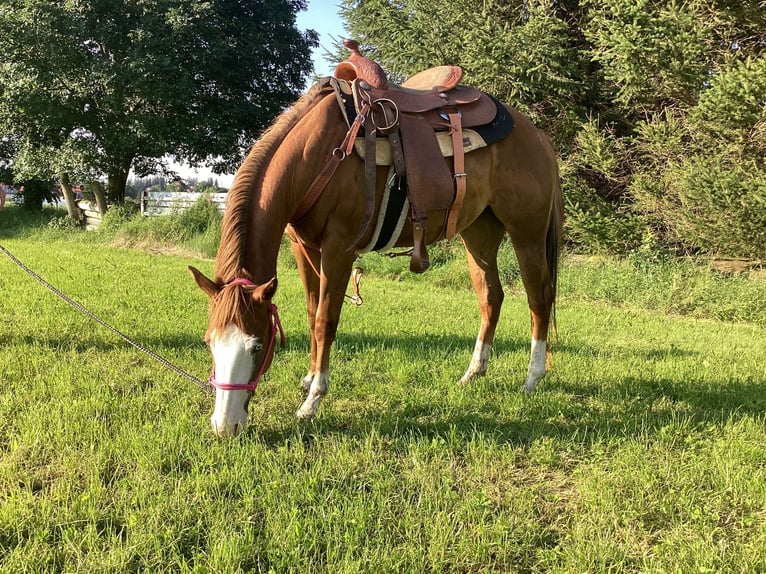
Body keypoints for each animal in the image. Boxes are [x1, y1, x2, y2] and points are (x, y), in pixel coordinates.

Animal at [190, 76, 564, 438]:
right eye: (208, 341)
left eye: (256, 346)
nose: (224, 426)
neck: (315, 154)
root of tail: (539, 136)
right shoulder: (302, 246)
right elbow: (312, 312)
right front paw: (309, 378)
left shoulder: (338, 248)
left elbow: (326, 321)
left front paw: (312, 400)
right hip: (479, 233)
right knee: (491, 297)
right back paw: (473, 372)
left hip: (527, 233)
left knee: (538, 299)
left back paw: (532, 378)